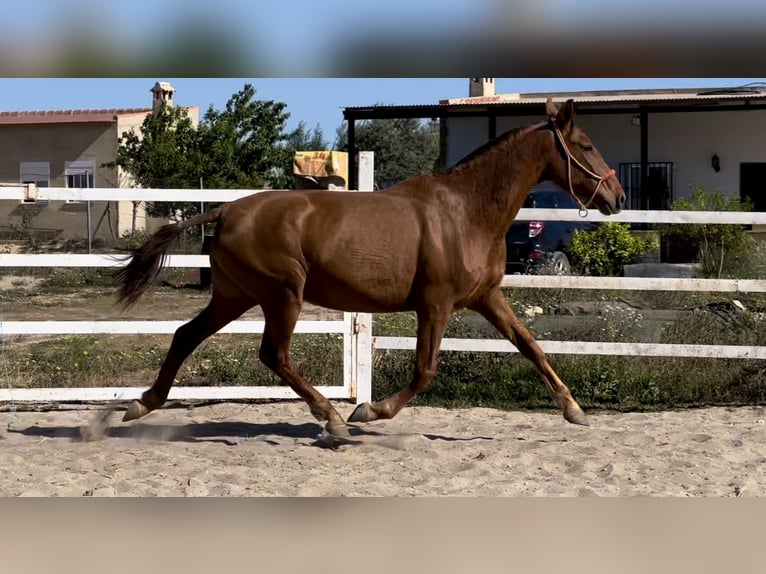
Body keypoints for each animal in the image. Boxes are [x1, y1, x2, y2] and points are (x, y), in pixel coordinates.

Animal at [115, 100, 632, 440]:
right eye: (586, 145)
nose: (618, 196)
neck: (466, 211)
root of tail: (224, 211)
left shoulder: (487, 298)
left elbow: (531, 345)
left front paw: (574, 410)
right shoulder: (436, 305)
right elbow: (425, 370)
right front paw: (369, 411)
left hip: (235, 295)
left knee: (186, 335)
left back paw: (141, 404)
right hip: (282, 295)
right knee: (273, 355)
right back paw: (333, 419)